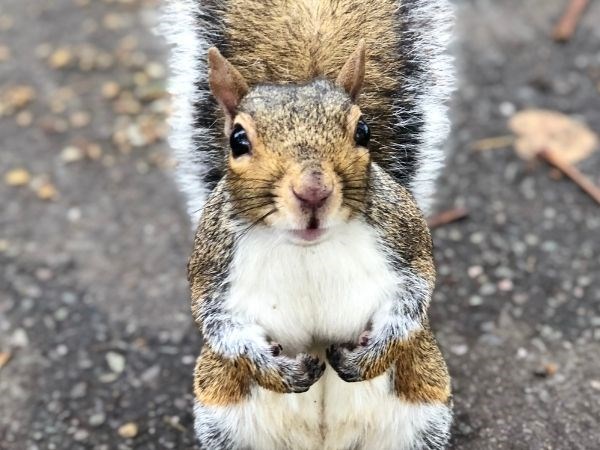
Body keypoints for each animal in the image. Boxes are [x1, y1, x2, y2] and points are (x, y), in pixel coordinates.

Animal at [162, 0, 452, 450]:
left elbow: (413, 298)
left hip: (423, 420)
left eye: (363, 131)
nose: (313, 191)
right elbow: (219, 325)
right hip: (224, 425)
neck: (308, 249)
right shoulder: (212, 265)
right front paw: (281, 372)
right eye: (238, 140)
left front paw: (365, 358)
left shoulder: (404, 239)